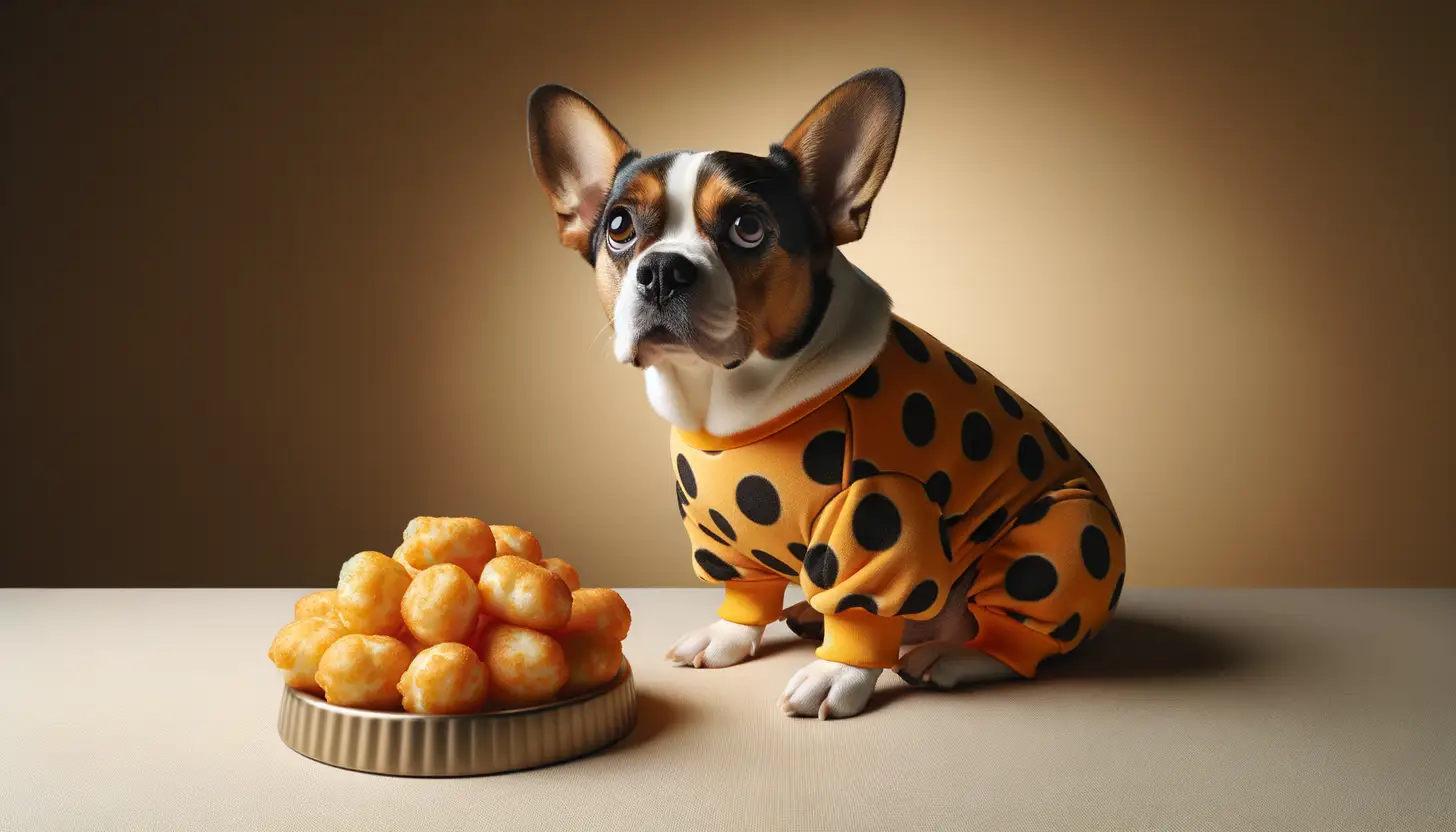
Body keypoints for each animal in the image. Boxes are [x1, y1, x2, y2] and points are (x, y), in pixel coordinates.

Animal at [527, 68, 1124, 719]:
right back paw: (813, 616)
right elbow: (745, 588)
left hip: (1058, 532)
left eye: (748, 227)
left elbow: (867, 607)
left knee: (1006, 638)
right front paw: (731, 633)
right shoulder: (719, 532)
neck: (727, 398)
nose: (662, 269)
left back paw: (957, 655)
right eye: (619, 228)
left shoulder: (881, 518)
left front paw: (840, 672)